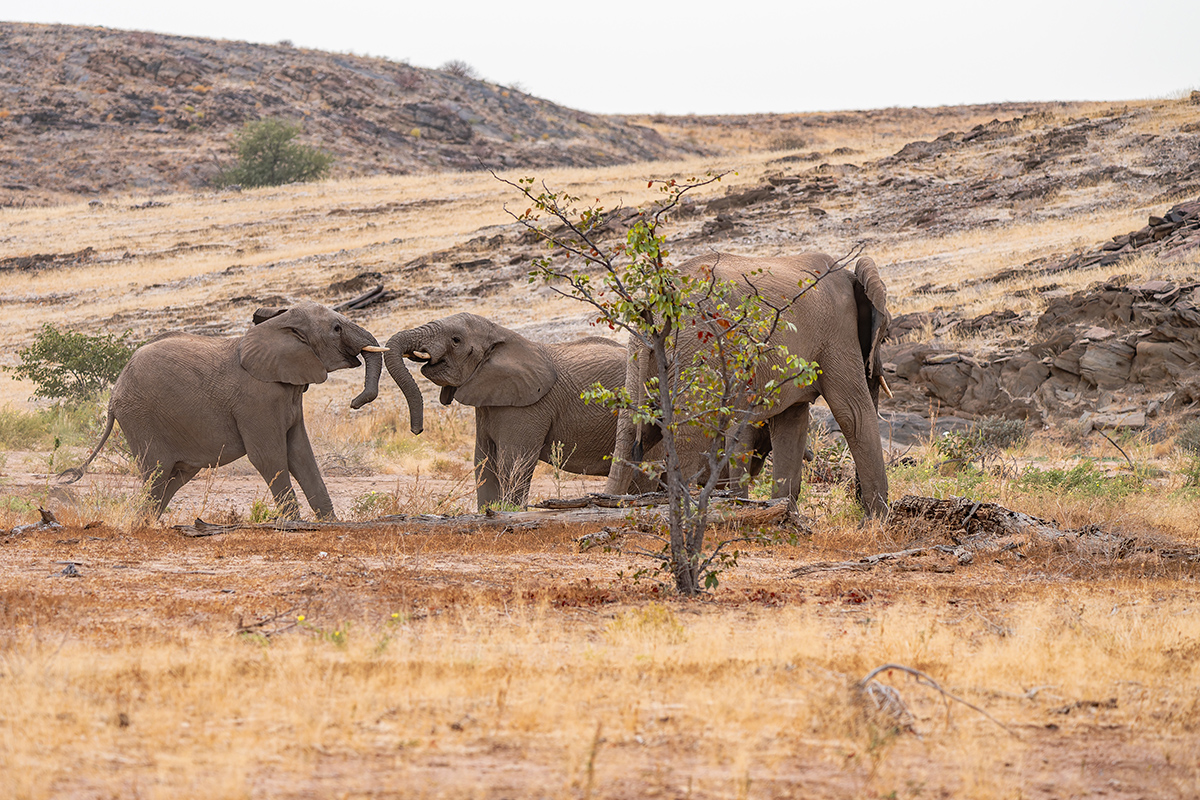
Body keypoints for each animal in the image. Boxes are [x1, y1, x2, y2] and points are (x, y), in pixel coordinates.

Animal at [60, 301, 422, 520]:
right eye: (335, 328)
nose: (356, 402)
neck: (279, 324)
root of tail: (113, 395)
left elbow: (300, 453)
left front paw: (330, 524)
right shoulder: (256, 400)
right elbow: (270, 457)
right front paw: (295, 524)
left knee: (172, 478)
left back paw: (145, 524)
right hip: (141, 417)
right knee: (156, 475)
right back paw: (137, 526)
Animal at [381, 312, 666, 510]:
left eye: (456, 340)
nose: (416, 430)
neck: (501, 335)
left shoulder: (530, 407)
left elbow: (512, 464)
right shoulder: (489, 402)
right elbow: (484, 463)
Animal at [606, 252, 891, 517]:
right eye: (886, 336)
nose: (859, 506)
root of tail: (654, 311)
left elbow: (791, 426)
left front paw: (787, 515)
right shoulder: (838, 332)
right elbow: (852, 414)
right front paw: (878, 522)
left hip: (640, 357)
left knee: (631, 435)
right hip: (697, 350)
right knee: (687, 434)